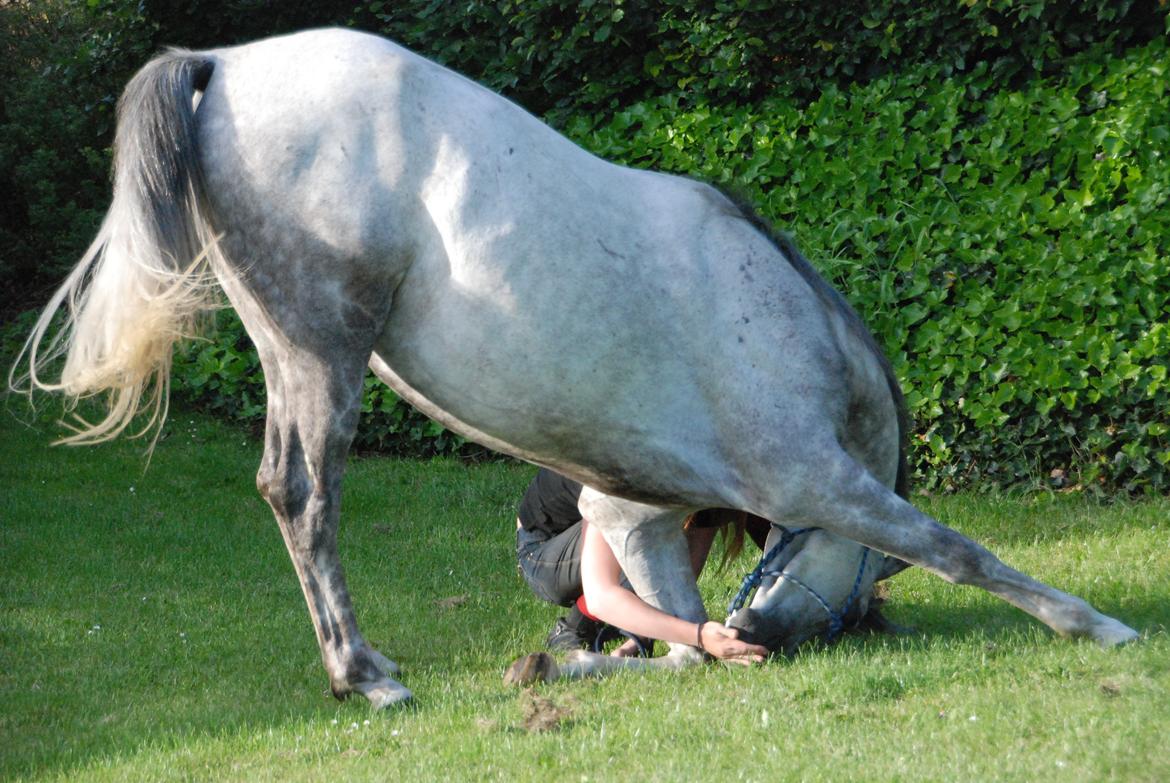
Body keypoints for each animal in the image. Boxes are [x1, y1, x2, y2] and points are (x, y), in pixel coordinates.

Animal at [13, 28, 1137, 706]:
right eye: (855, 596)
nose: (767, 630)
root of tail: (222, 61)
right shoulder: (815, 477)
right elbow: (962, 549)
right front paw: (1097, 627)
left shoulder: (637, 517)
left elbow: (674, 629)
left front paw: (619, 662)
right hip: (321, 345)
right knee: (303, 493)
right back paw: (366, 674)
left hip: (285, 340)